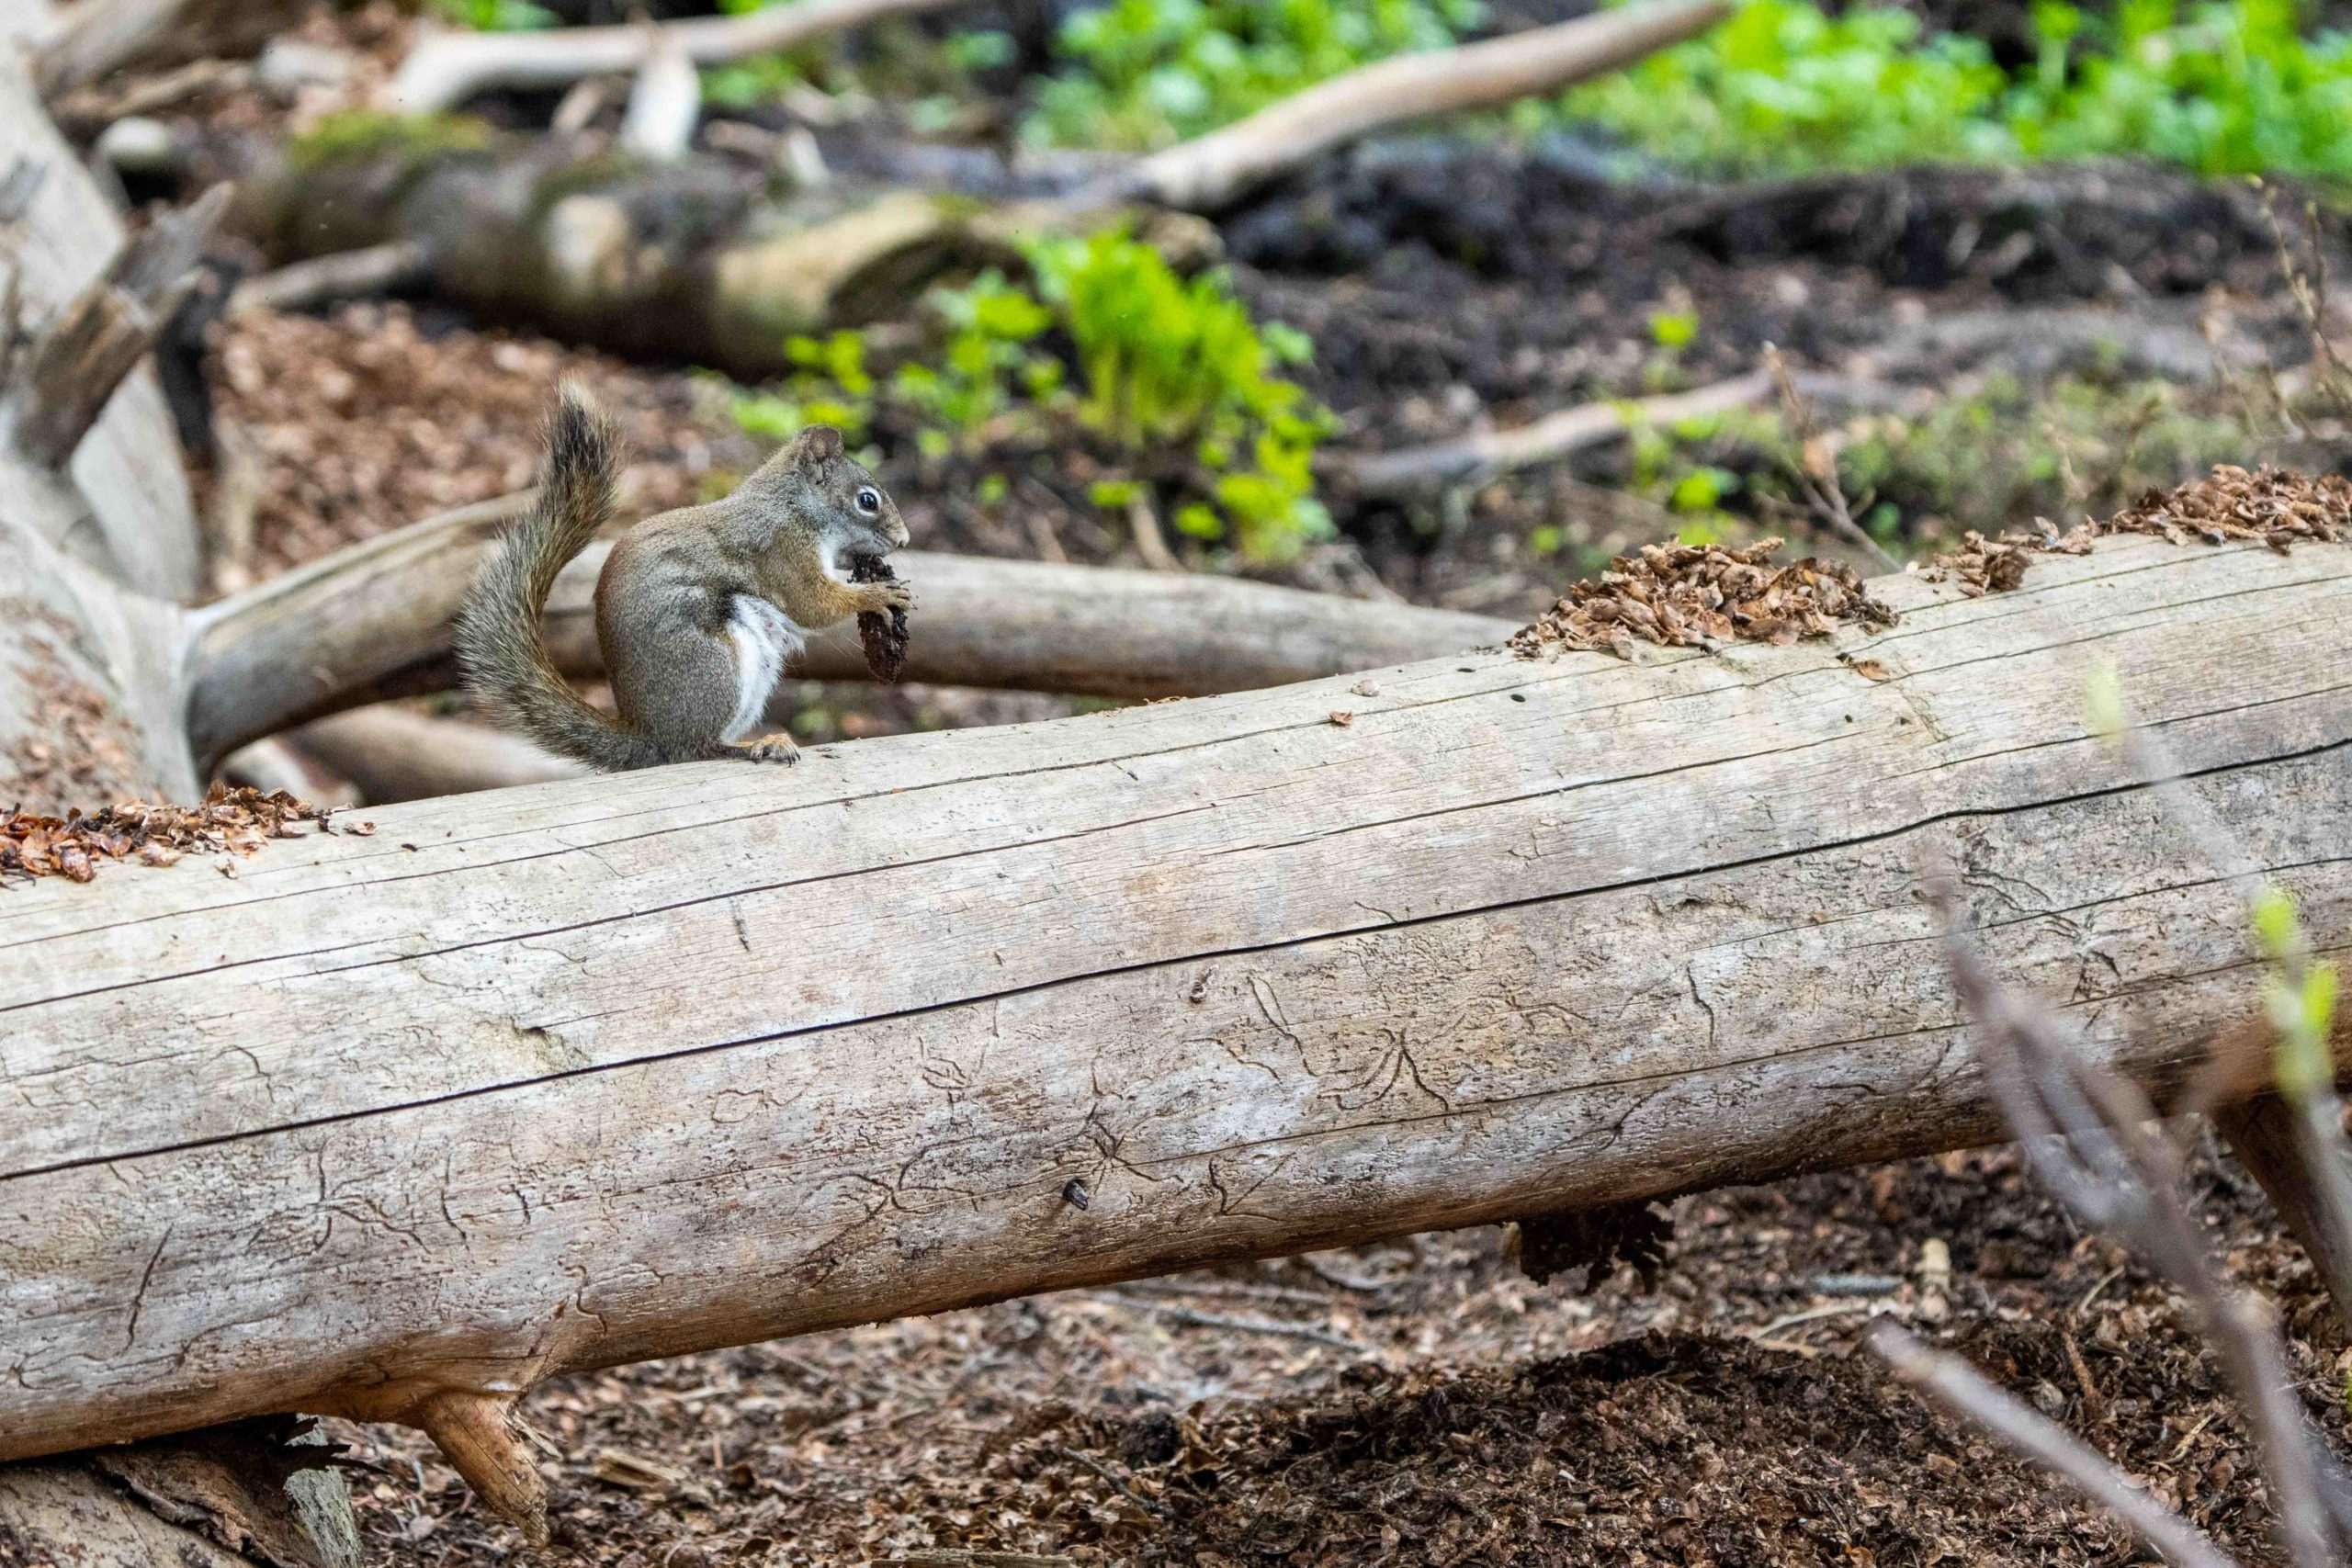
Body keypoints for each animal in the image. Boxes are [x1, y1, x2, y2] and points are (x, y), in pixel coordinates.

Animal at [456, 383, 908, 771]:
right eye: (867, 501)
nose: (903, 540)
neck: (793, 506)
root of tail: (652, 736)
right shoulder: (782, 550)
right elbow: (811, 604)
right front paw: (878, 595)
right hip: (717, 662)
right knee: (697, 749)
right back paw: (759, 745)